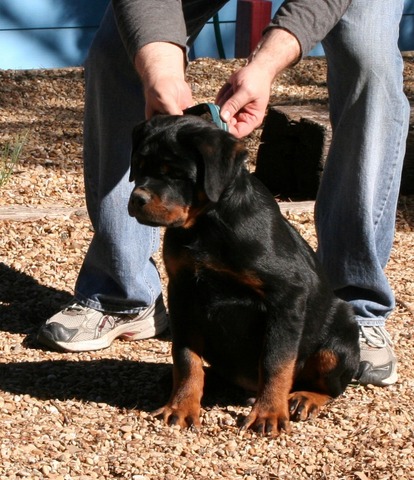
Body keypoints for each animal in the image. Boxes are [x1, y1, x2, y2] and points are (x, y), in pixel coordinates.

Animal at [127, 113, 360, 436]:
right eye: (138, 166)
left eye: (176, 174)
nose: (137, 199)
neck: (206, 225)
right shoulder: (182, 292)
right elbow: (185, 357)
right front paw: (182, 406)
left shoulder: (287, 296)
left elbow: (276, 361)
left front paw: (269, 413)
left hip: (341, 335)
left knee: (331, 386)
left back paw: (304, 398)